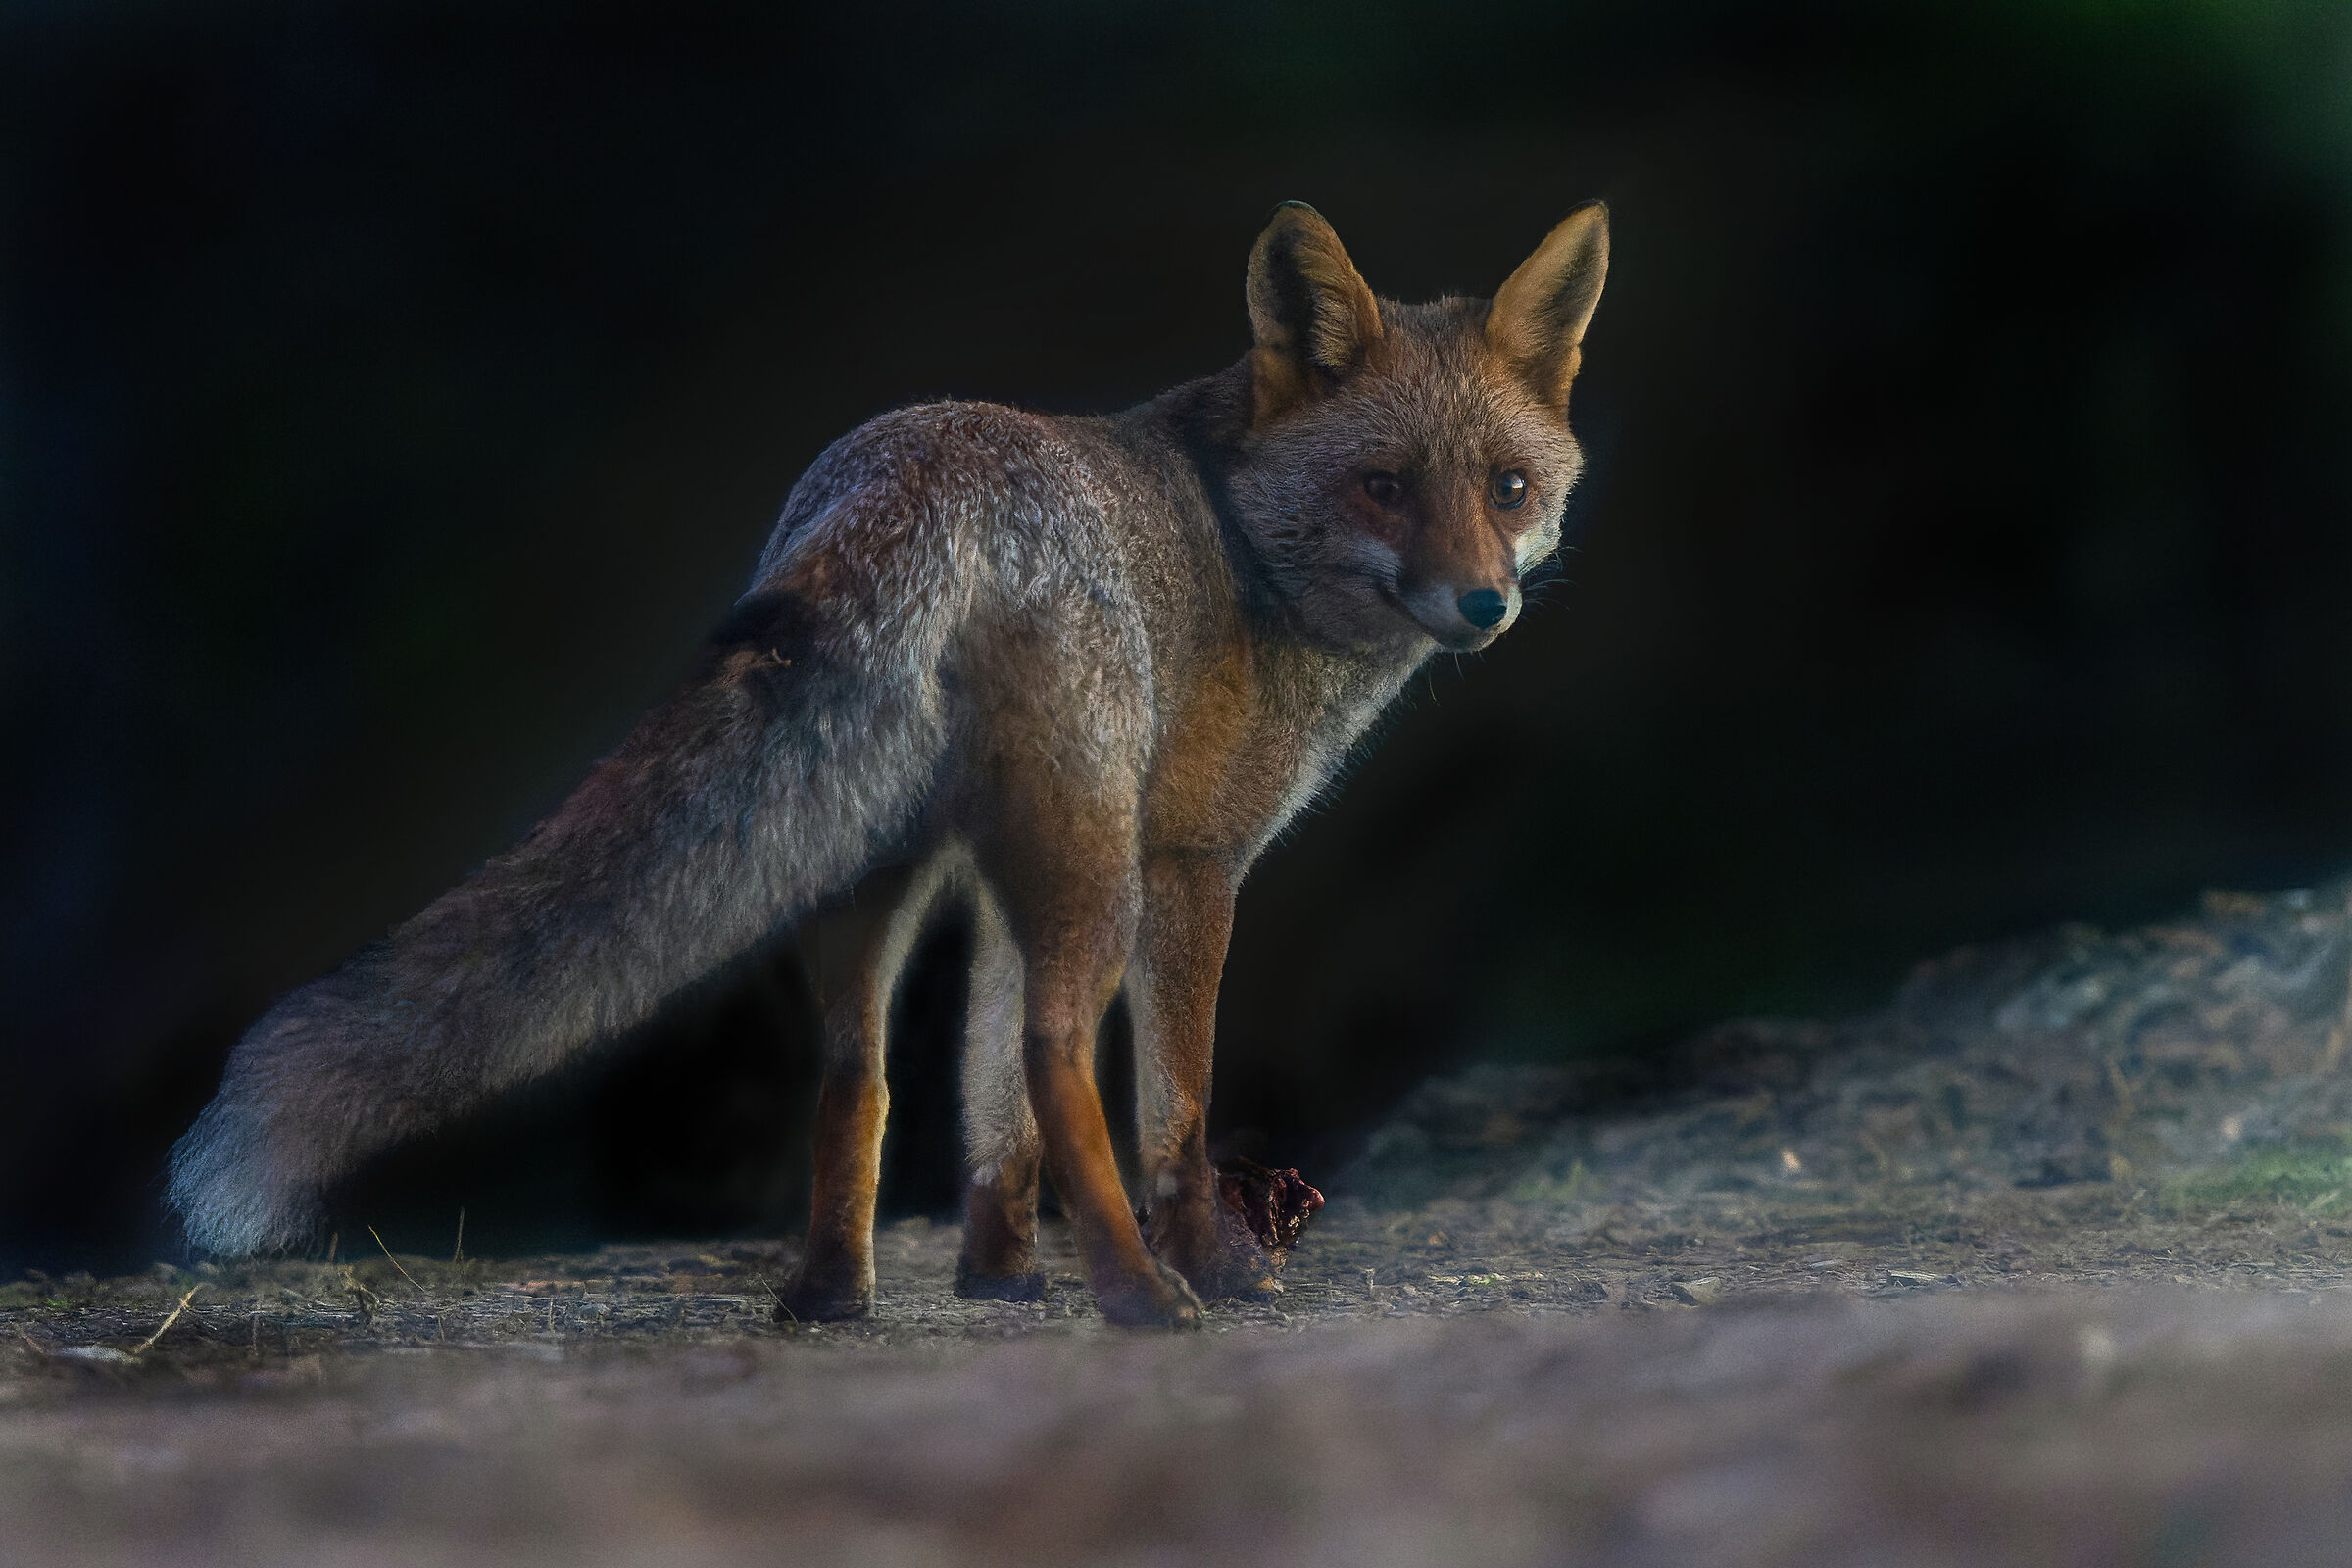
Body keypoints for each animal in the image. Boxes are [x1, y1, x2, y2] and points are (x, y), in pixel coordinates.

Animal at [168, 200, 1610, 1328]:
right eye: (1383, 486)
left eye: (1508, 487)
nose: (1486, 605)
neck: (1242, 546)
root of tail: (904, 474)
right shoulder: (1191, 866)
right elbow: (1173, 1113)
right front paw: (1211, 1263)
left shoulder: (991, 884)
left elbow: (982, 1110)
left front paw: (998, 1276)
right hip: (1089, 876)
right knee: (1053, 1051)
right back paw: (1144, 1298)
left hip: (880, 868)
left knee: (856, 1074)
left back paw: (830, 1298)